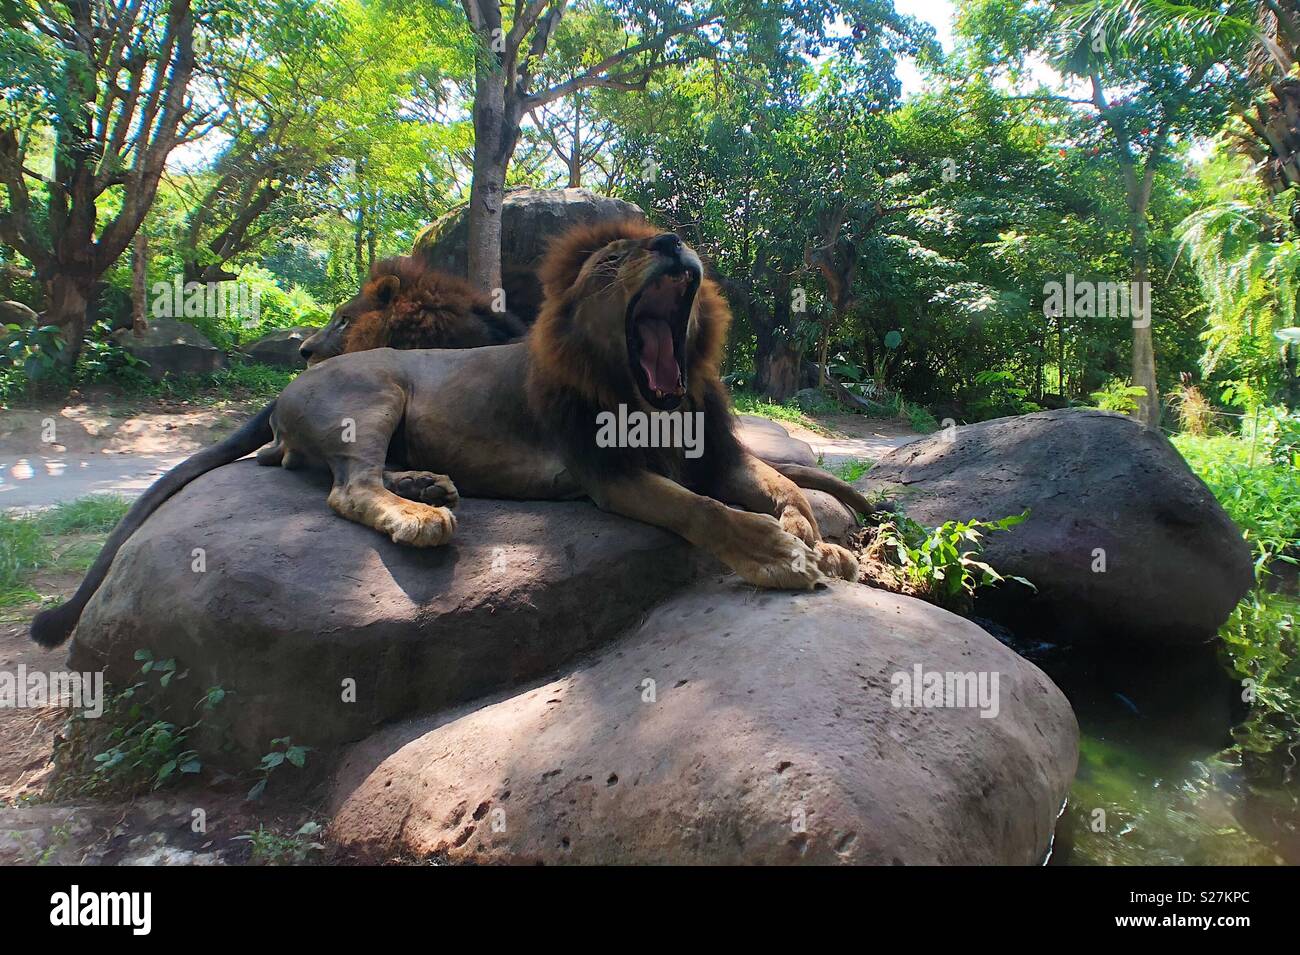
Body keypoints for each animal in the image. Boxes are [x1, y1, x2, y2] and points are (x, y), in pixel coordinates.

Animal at [32, 216, 863, 649]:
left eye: (664, 239)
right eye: (614, 256)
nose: (672, 242)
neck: (657, 395)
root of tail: (284, 387)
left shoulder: (719, 450)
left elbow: (781, 484)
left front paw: (816, 537)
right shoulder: (608, 474)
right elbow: (705, 510)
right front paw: (777, 552)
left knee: (333, 474)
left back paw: (429, 483)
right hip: (374, 391)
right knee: (347, 488)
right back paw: (423, 515)